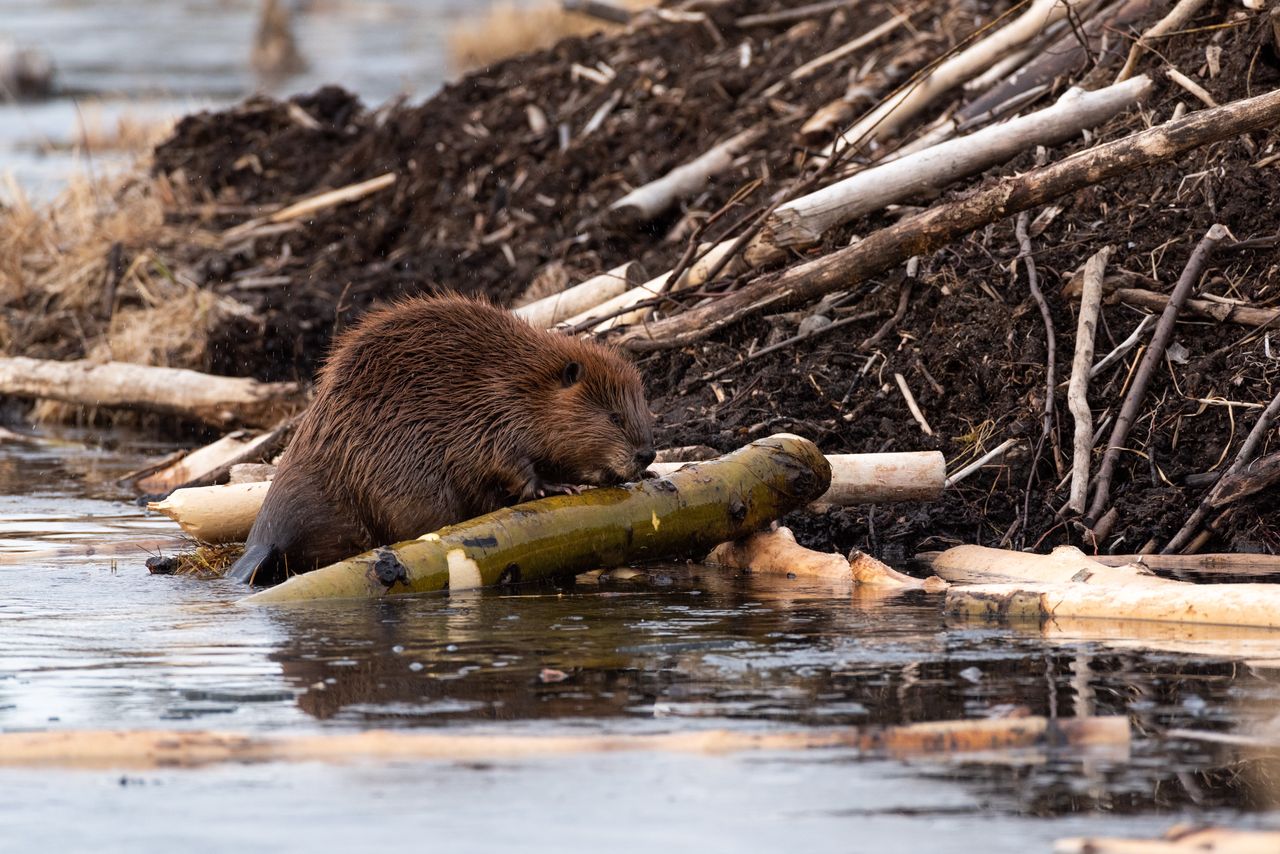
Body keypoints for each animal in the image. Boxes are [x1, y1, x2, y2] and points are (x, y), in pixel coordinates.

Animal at [224, 295, 655, 588]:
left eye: (644, 410)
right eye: (614, 417)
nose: (647, 454)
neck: (522, 382)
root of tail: (265, 538)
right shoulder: (492, 415)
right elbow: (511, 466)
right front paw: (559, 486)